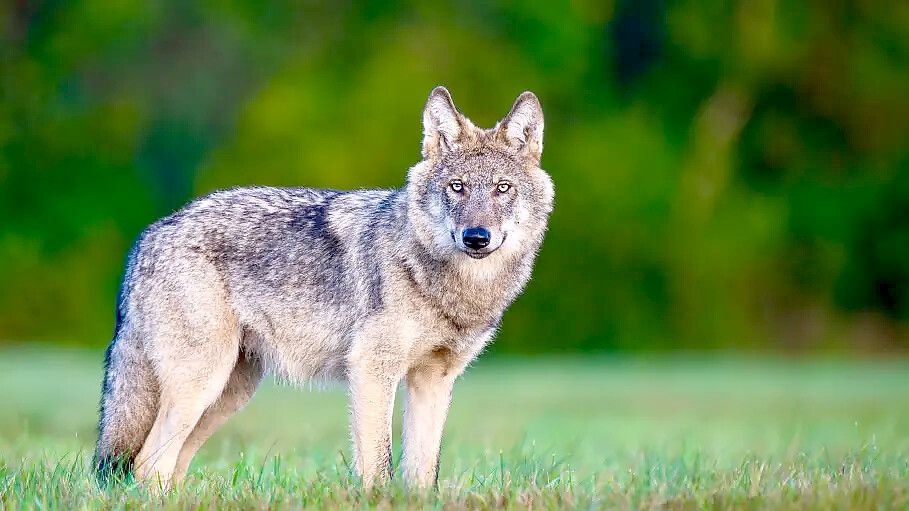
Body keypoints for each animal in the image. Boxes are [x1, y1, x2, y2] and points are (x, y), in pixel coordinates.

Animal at [94, 86, 554, 490]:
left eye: (503, 188)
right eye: (457, 187)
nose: (476, 238)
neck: (449, 286)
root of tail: (150, 234)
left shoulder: (433, 380)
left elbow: (424, 474)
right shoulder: (372, 371)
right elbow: (380, 467)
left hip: (228, 394)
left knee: (169, 467)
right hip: (200, 385)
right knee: (146, 464)